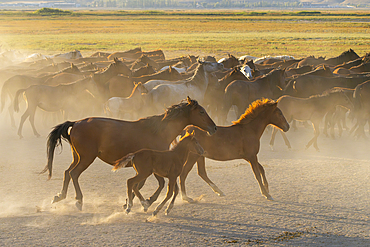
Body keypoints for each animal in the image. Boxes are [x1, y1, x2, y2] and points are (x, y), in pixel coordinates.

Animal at [43, 97, 217, 209]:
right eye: (201, 112)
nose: (214, 127)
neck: (158, 131)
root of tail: (76, 123)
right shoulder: (153, 165)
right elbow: (151, 184)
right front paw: (144, 202)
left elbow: (140, 184)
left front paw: (130, 201)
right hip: (86, 158)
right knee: (74, 174)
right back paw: (78, 201)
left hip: (77, 157)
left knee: (67, 172)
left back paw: (59, 196)